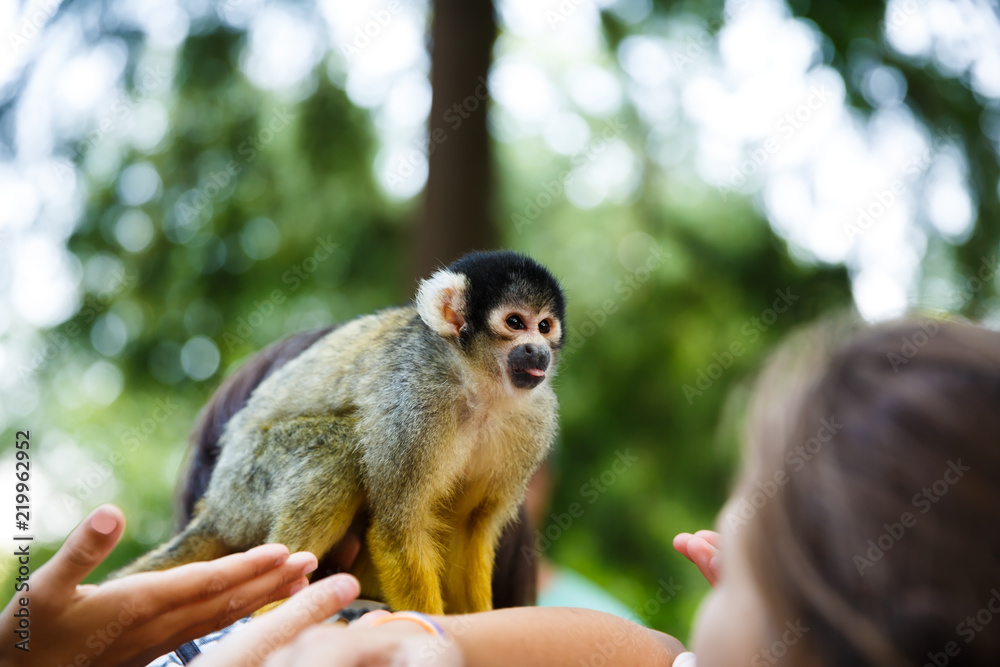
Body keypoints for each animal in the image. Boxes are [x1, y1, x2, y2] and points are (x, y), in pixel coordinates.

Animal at [116, 250, 565, 616]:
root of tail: (214, 506)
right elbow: (397, 531)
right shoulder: (413, 402)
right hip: (247, 482)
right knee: (339, 452)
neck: (477, 386)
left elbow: (471, 528)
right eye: (515, 323)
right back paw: (274, 606)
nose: (538, 351)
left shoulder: (535, 421)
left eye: (544, 327)